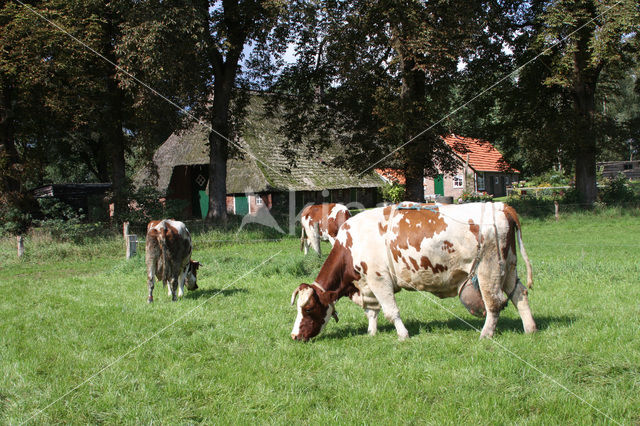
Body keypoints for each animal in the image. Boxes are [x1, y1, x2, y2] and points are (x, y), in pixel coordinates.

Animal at [290, 201, 536, 342]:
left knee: (493, 304)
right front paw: (371, 332)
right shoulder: (367, 284)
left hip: (489, 268)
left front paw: (403, 335)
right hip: (508, 267)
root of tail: (501, 206)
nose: (294, 336)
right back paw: (530, 329)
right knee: (519, 294)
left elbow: (391, 311)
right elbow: (372, 312)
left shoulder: (379, 279)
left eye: (308, 309)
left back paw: (485, 335)